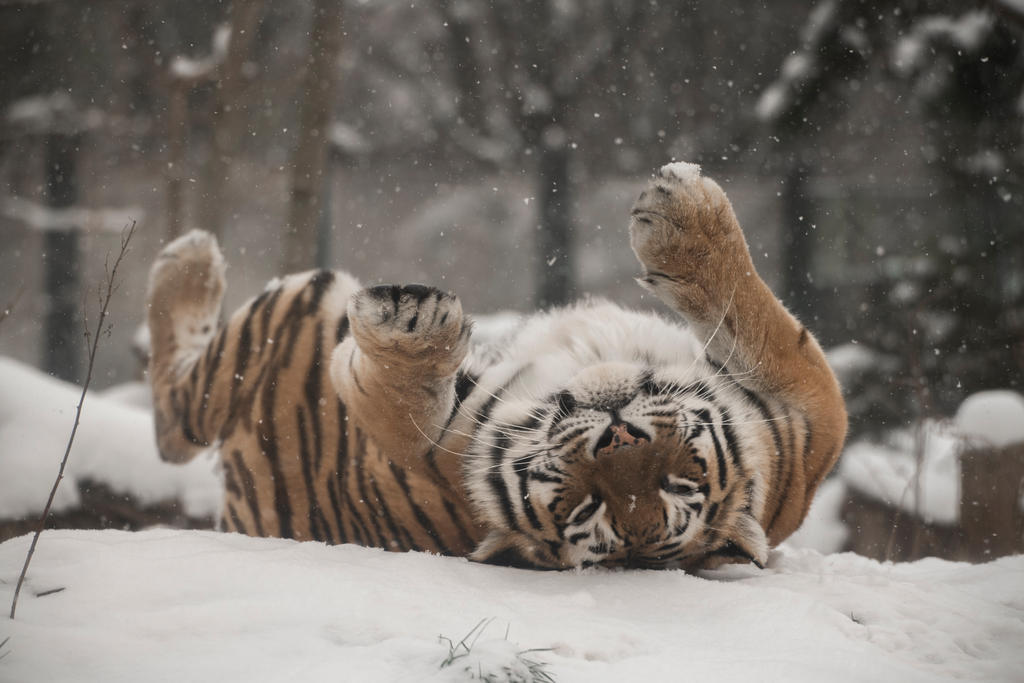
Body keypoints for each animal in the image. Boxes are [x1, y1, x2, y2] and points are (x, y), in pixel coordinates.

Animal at [145, 162, 847, 570]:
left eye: (584, 511)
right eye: (683, 481)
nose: (618, 431)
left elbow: (394, 411)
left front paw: (398, 333)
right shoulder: (808, 425)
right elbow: (778, 332)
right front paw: (688, 213)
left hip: (284, 313)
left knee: (173, 420)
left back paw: (190, 259)